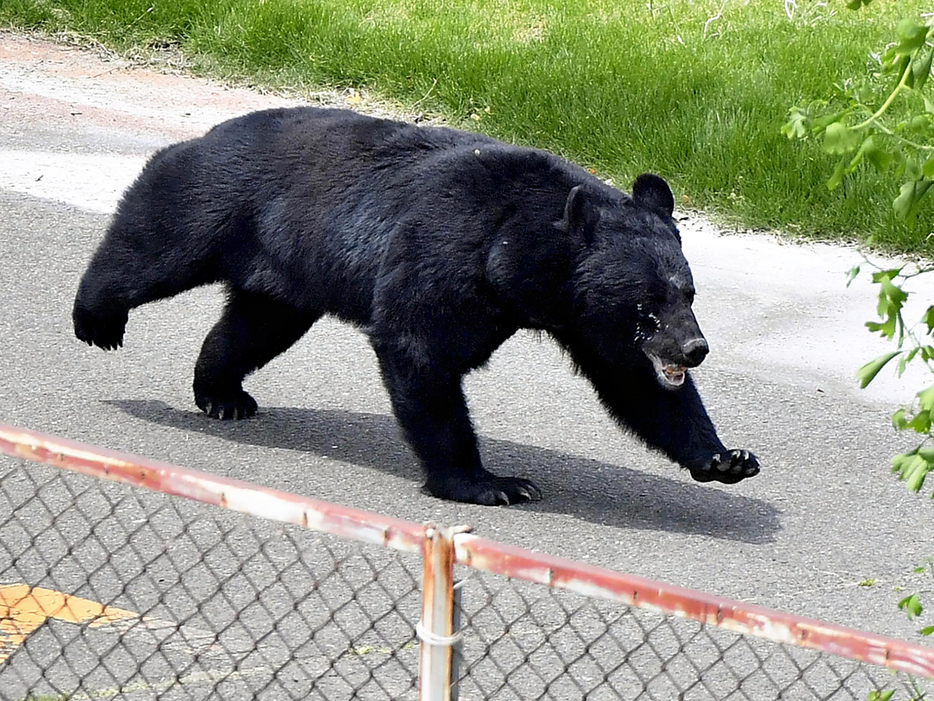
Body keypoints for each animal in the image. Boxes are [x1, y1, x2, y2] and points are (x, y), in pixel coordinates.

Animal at [73, 106, 760, 505]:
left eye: (687, 292)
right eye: (647, 300)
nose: (694, 348)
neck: (515, 254)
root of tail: (214, 128)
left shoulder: (582, 315)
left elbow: (635, 383)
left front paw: (727, 458)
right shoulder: (447, 251)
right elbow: (421, 351)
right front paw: (491, 483)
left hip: (287, 273)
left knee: (253, 325)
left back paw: (221, 393)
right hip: (222, 200)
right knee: (158, 241)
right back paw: (97, 319)